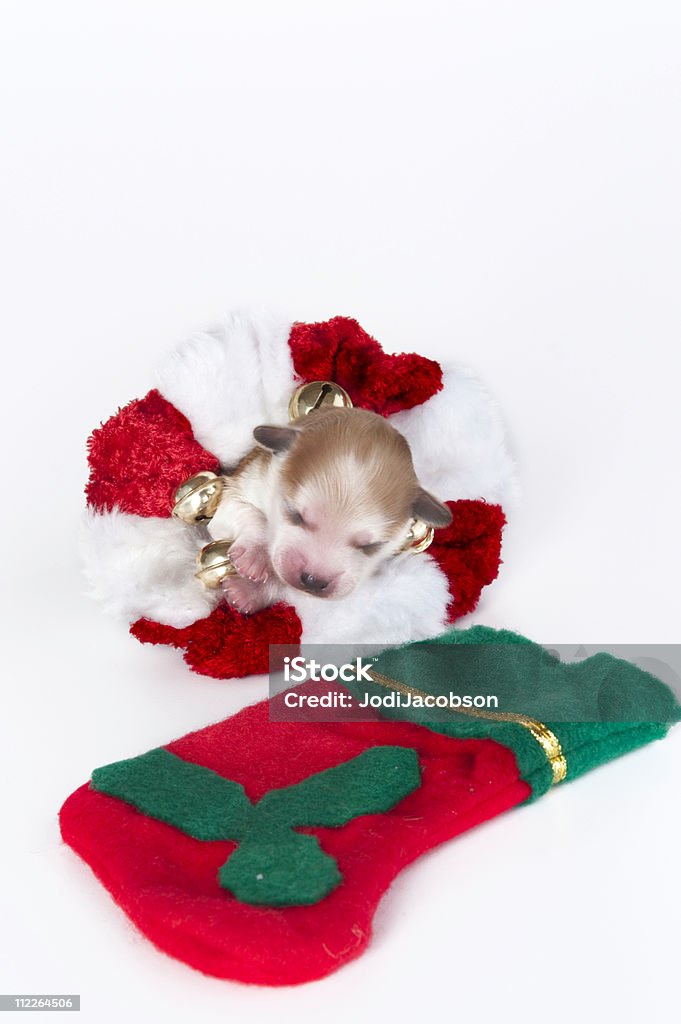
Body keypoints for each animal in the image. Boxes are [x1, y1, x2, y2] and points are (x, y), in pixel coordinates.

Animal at [206, 407, 450, 614]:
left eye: (371, 546)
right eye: (295, 514)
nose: (313, 580)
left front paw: (248, 592)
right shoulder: (244, 484)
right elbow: (251, 514)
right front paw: (255, 556)